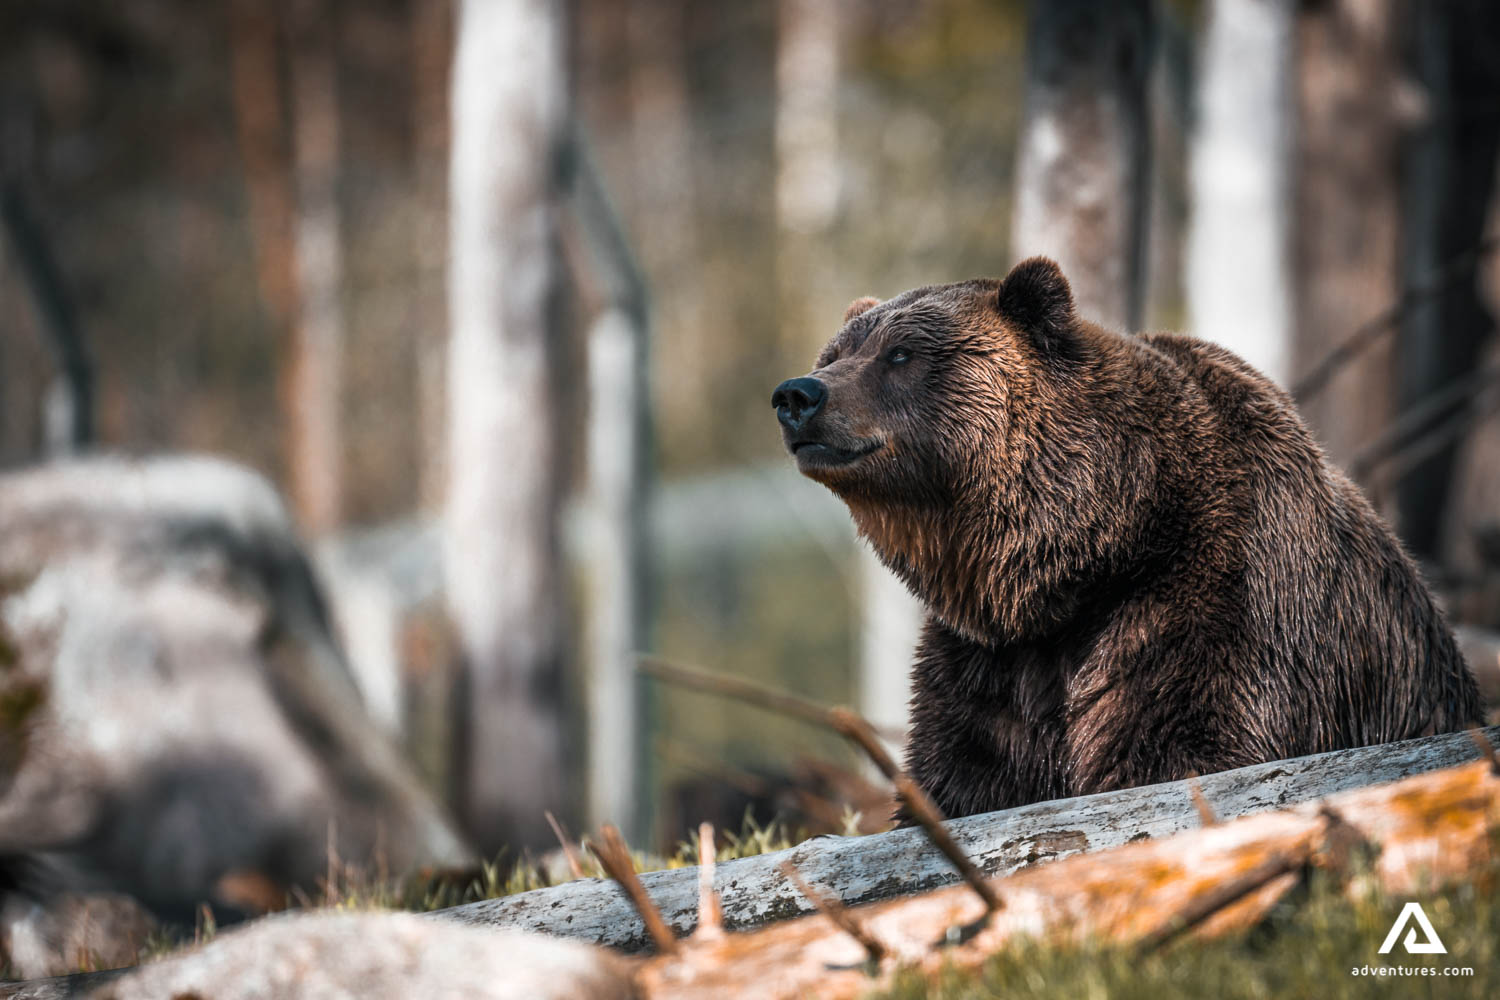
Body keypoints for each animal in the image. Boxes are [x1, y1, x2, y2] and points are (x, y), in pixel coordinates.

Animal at [771, 257, 1483, 820]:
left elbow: (1181, 748)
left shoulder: (1214, 605)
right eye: (834, 355)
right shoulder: (989, 664)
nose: (797, 394)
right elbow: (965, 776)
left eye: (901, 354)